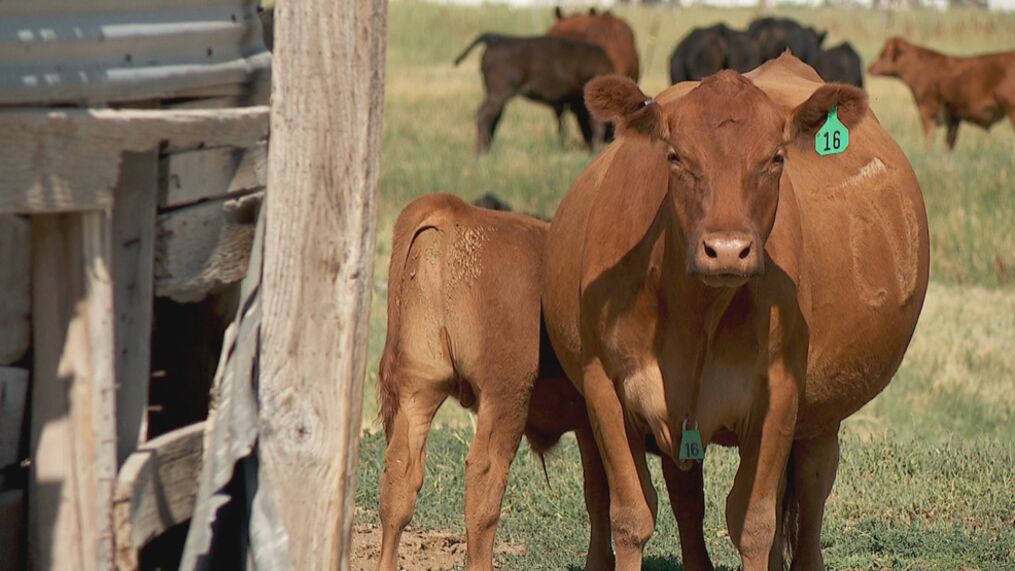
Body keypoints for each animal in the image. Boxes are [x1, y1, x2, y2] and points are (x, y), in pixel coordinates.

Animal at [454, 34, 609, 153]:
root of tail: (496, 39)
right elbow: (592, 123)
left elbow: (564, 125)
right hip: (499, 93)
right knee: (484, 114)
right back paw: (481, 152)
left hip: (497, 95)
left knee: (494, 116)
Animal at [544, 54, 929, 571]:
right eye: (676, 157)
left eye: (775, 158)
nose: (727, 250)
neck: (695, 318)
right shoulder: (603, 386)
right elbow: (630, 515)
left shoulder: (780, 396)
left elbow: (754, 523)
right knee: (635, 494)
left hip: (820, 417)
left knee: (809, 497)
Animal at [864, 36, 1015, 150]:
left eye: (883, 54)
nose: (870, 67)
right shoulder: (953, 118)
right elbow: (948, 144)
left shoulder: (927, 108)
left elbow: (930, 137)